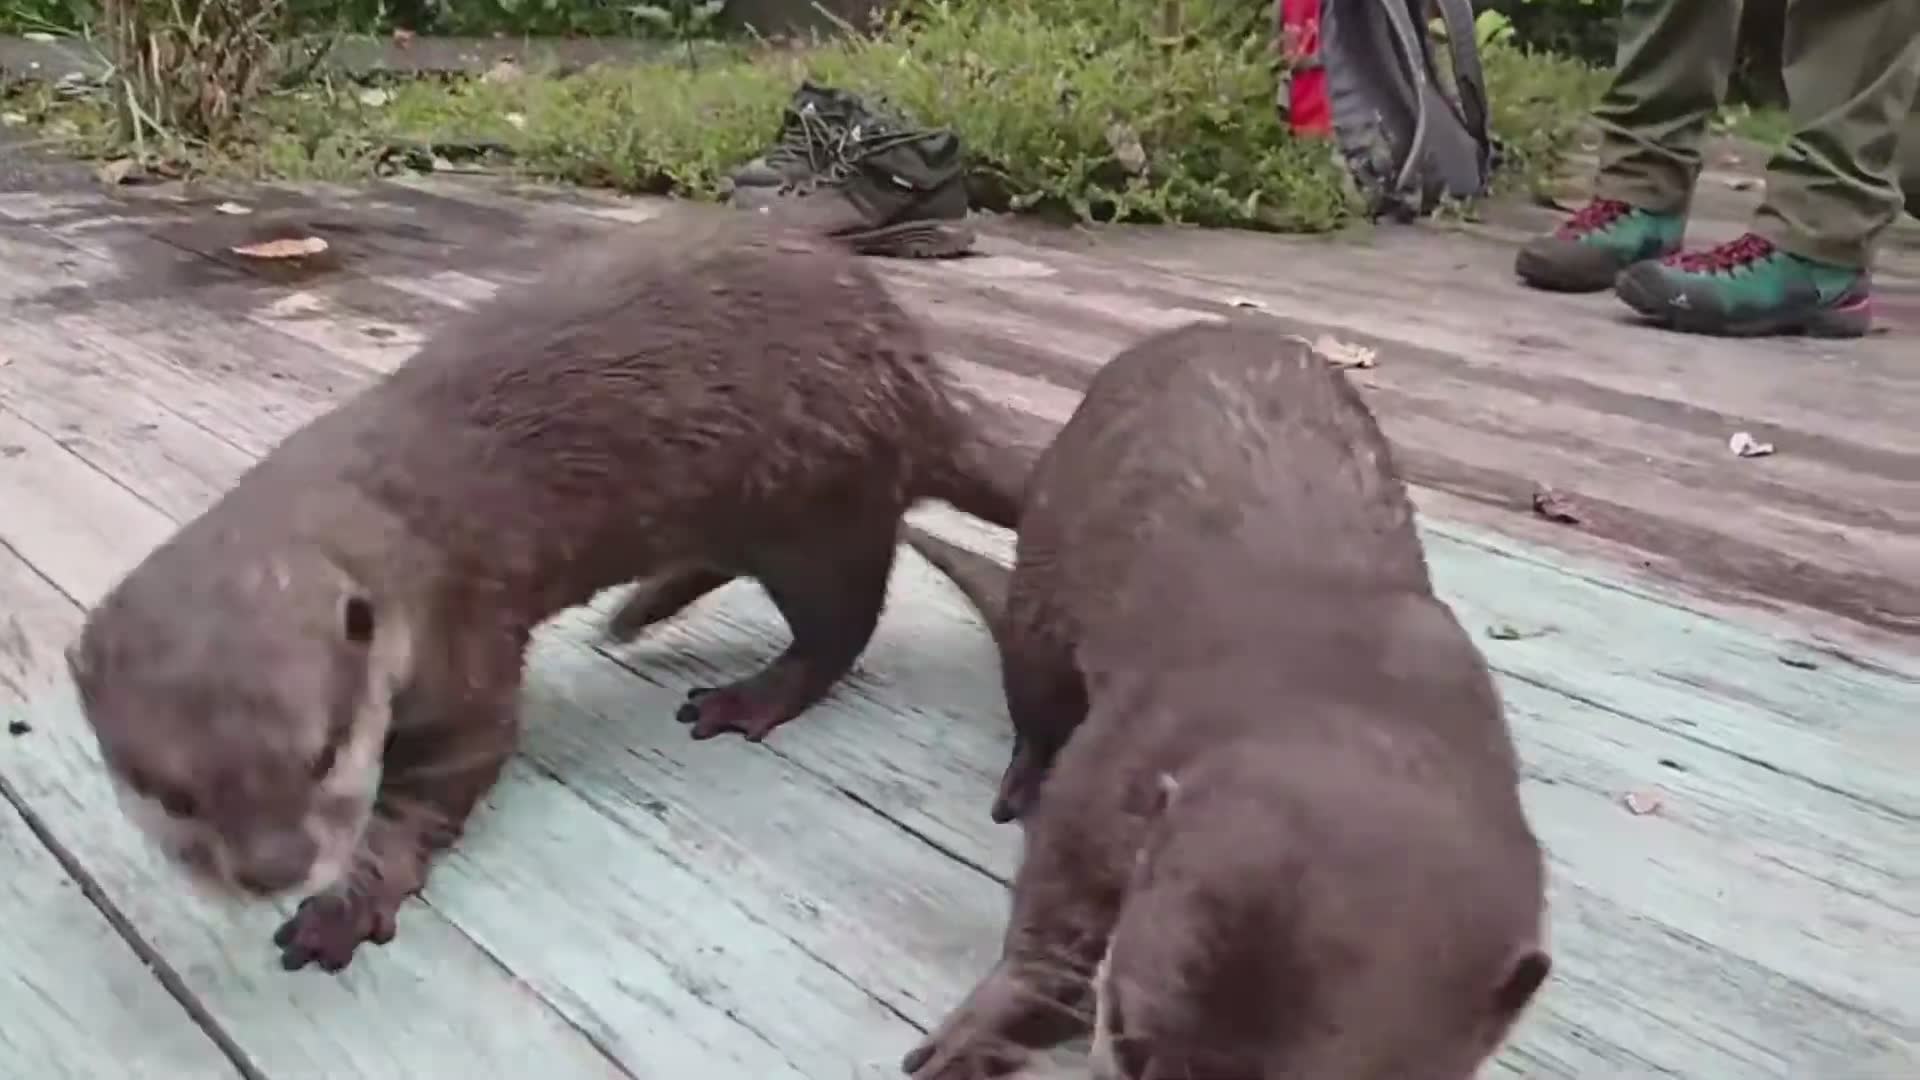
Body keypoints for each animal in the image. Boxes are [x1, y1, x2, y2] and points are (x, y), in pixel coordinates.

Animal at [65, 210, 1026, 974]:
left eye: (324, 755)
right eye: (172, 795)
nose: (274, 867)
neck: (385, 516)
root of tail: (917, 375)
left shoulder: (463, 639)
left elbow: (449, 773)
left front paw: (347, 905)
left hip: (821, 503)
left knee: (843, 623)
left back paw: (744, 696)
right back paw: (642, 609)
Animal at [899, 321, 1551, 1079]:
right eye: (1126, 1038)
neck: (1348, 694)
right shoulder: (1118, 752)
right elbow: (1056, 893)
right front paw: (992, 1021)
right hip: (1045, 579)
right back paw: (1020, 781)